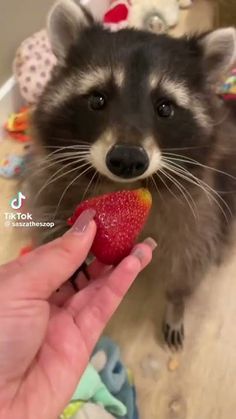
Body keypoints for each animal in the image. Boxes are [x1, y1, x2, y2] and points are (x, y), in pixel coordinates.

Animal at [27, 0, 236, 350]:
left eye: (164, 108)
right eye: (97, 99)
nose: (126, 159)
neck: (123, 184)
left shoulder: (200, 206)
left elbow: (190, 260)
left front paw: (176, 302)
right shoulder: (54, 174)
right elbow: (48, 203)